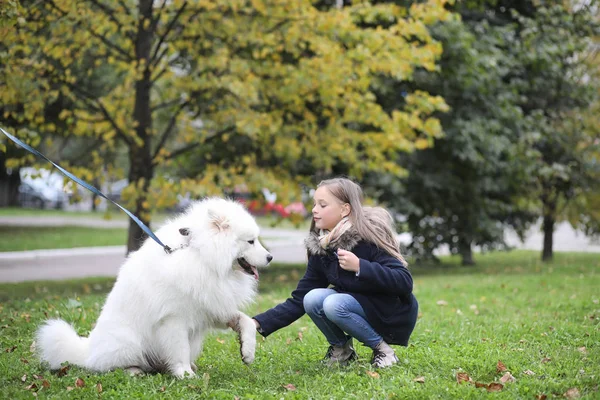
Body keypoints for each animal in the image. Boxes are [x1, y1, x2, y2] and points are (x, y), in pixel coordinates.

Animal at [36, 198, 274, 380]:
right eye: (251, 241)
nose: (271, 257)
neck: (200, 254)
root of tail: (87, 351)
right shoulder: (174, 319)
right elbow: (179, 349)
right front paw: (185, 375)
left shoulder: (210, 306)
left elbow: (244, 320)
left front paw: (247, 351)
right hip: (128, 342)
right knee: (107, 366)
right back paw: (134, 370)